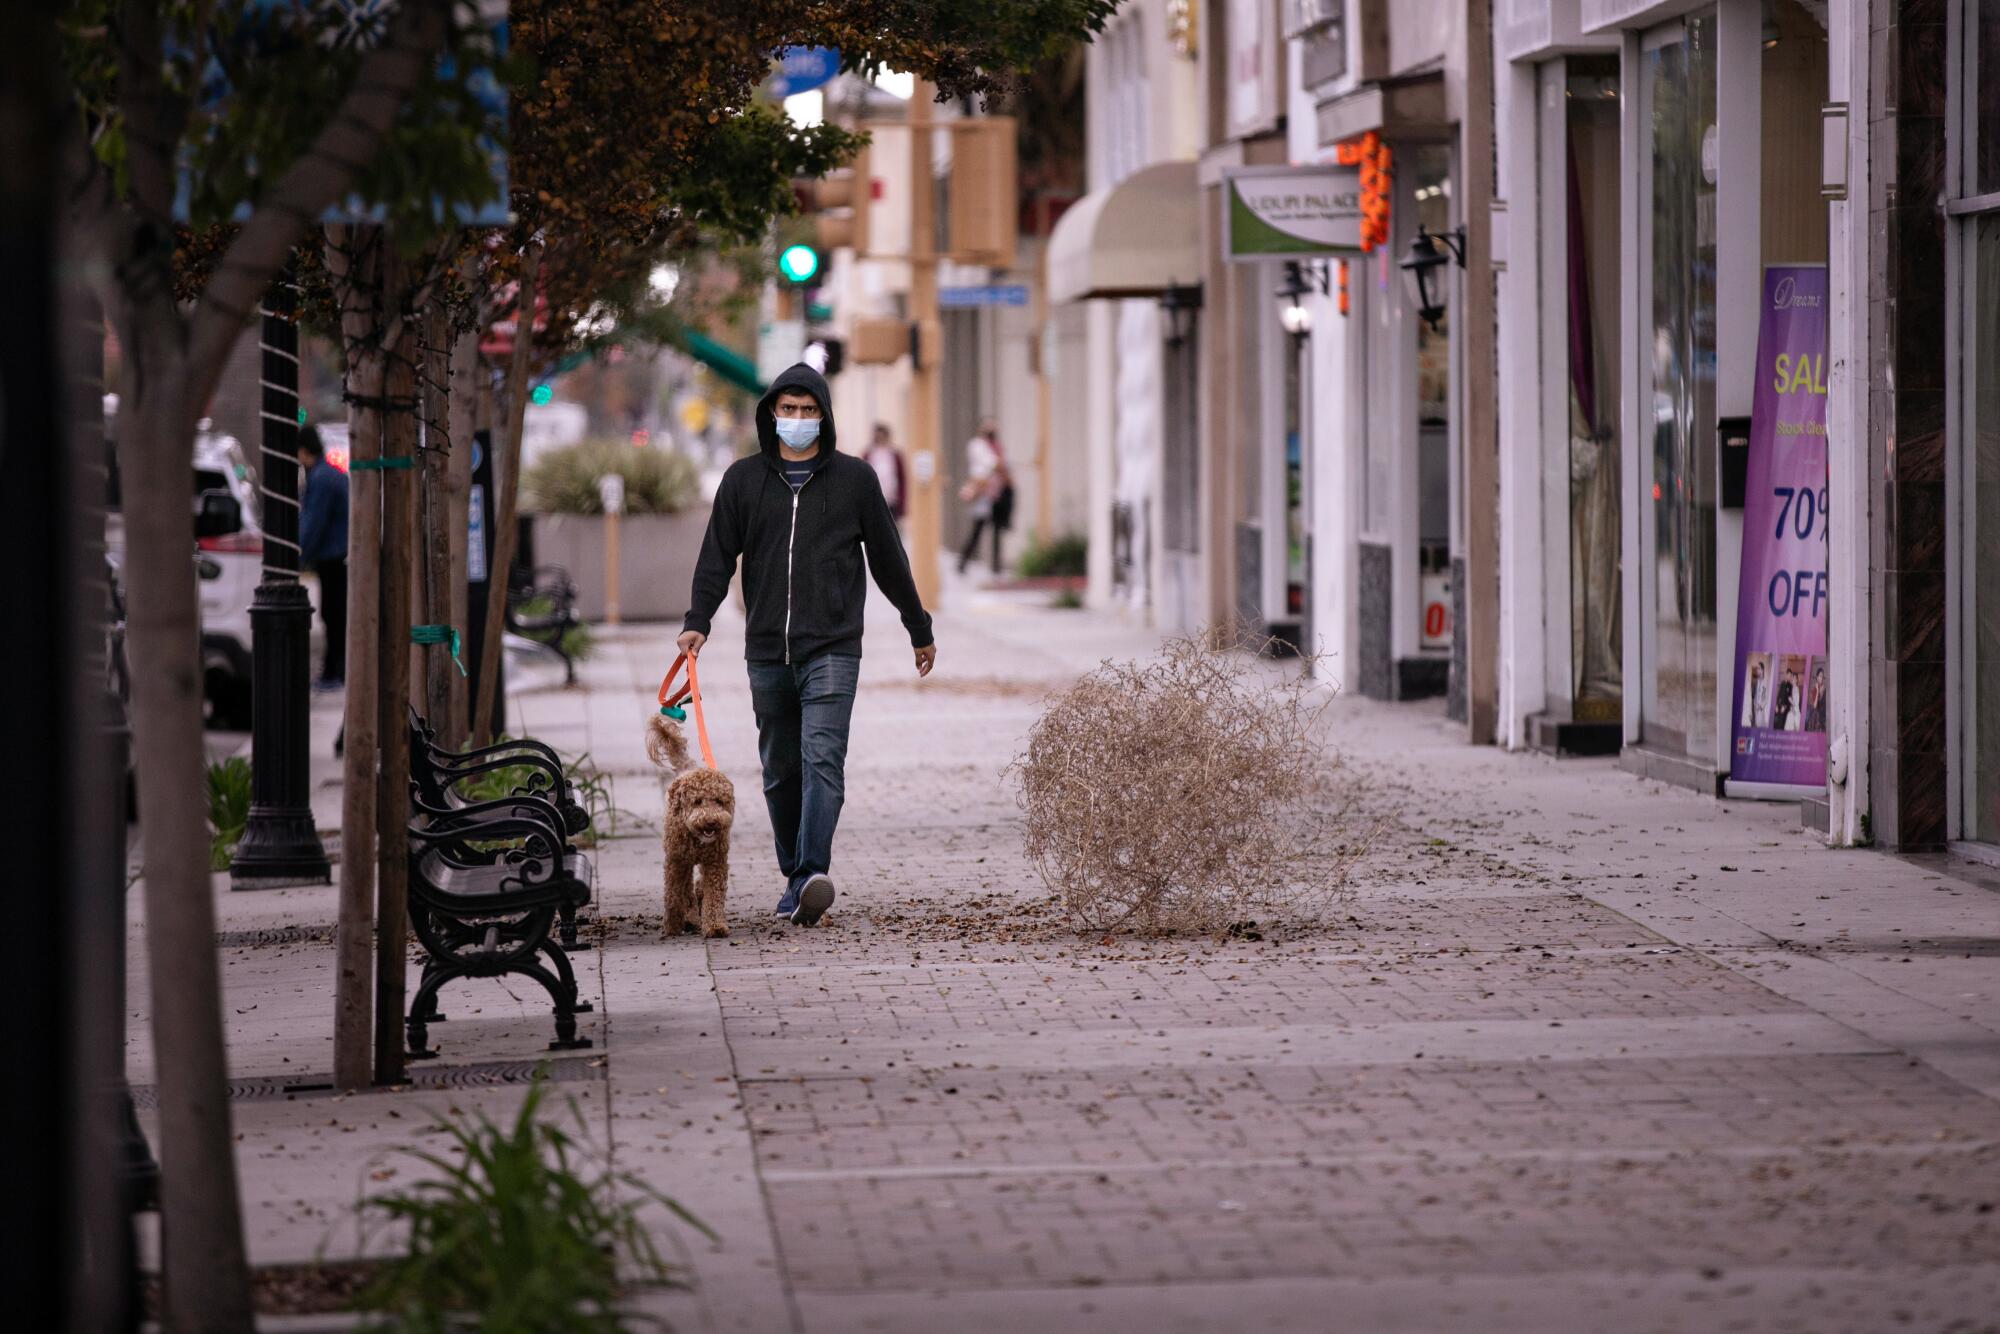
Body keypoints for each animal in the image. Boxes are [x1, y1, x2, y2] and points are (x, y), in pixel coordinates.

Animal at [644, 720, 740, 940]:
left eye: (719, 801)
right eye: (697, 801)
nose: (711, 822)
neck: (696, 838)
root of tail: (686, 769)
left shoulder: (715, 862)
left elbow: (714, 895)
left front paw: (715, 926)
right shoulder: (675, 861)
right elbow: (673, 895)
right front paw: (672, 924)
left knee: (694, 887)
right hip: (683, 860)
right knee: (685, 889)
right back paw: (688, 917)